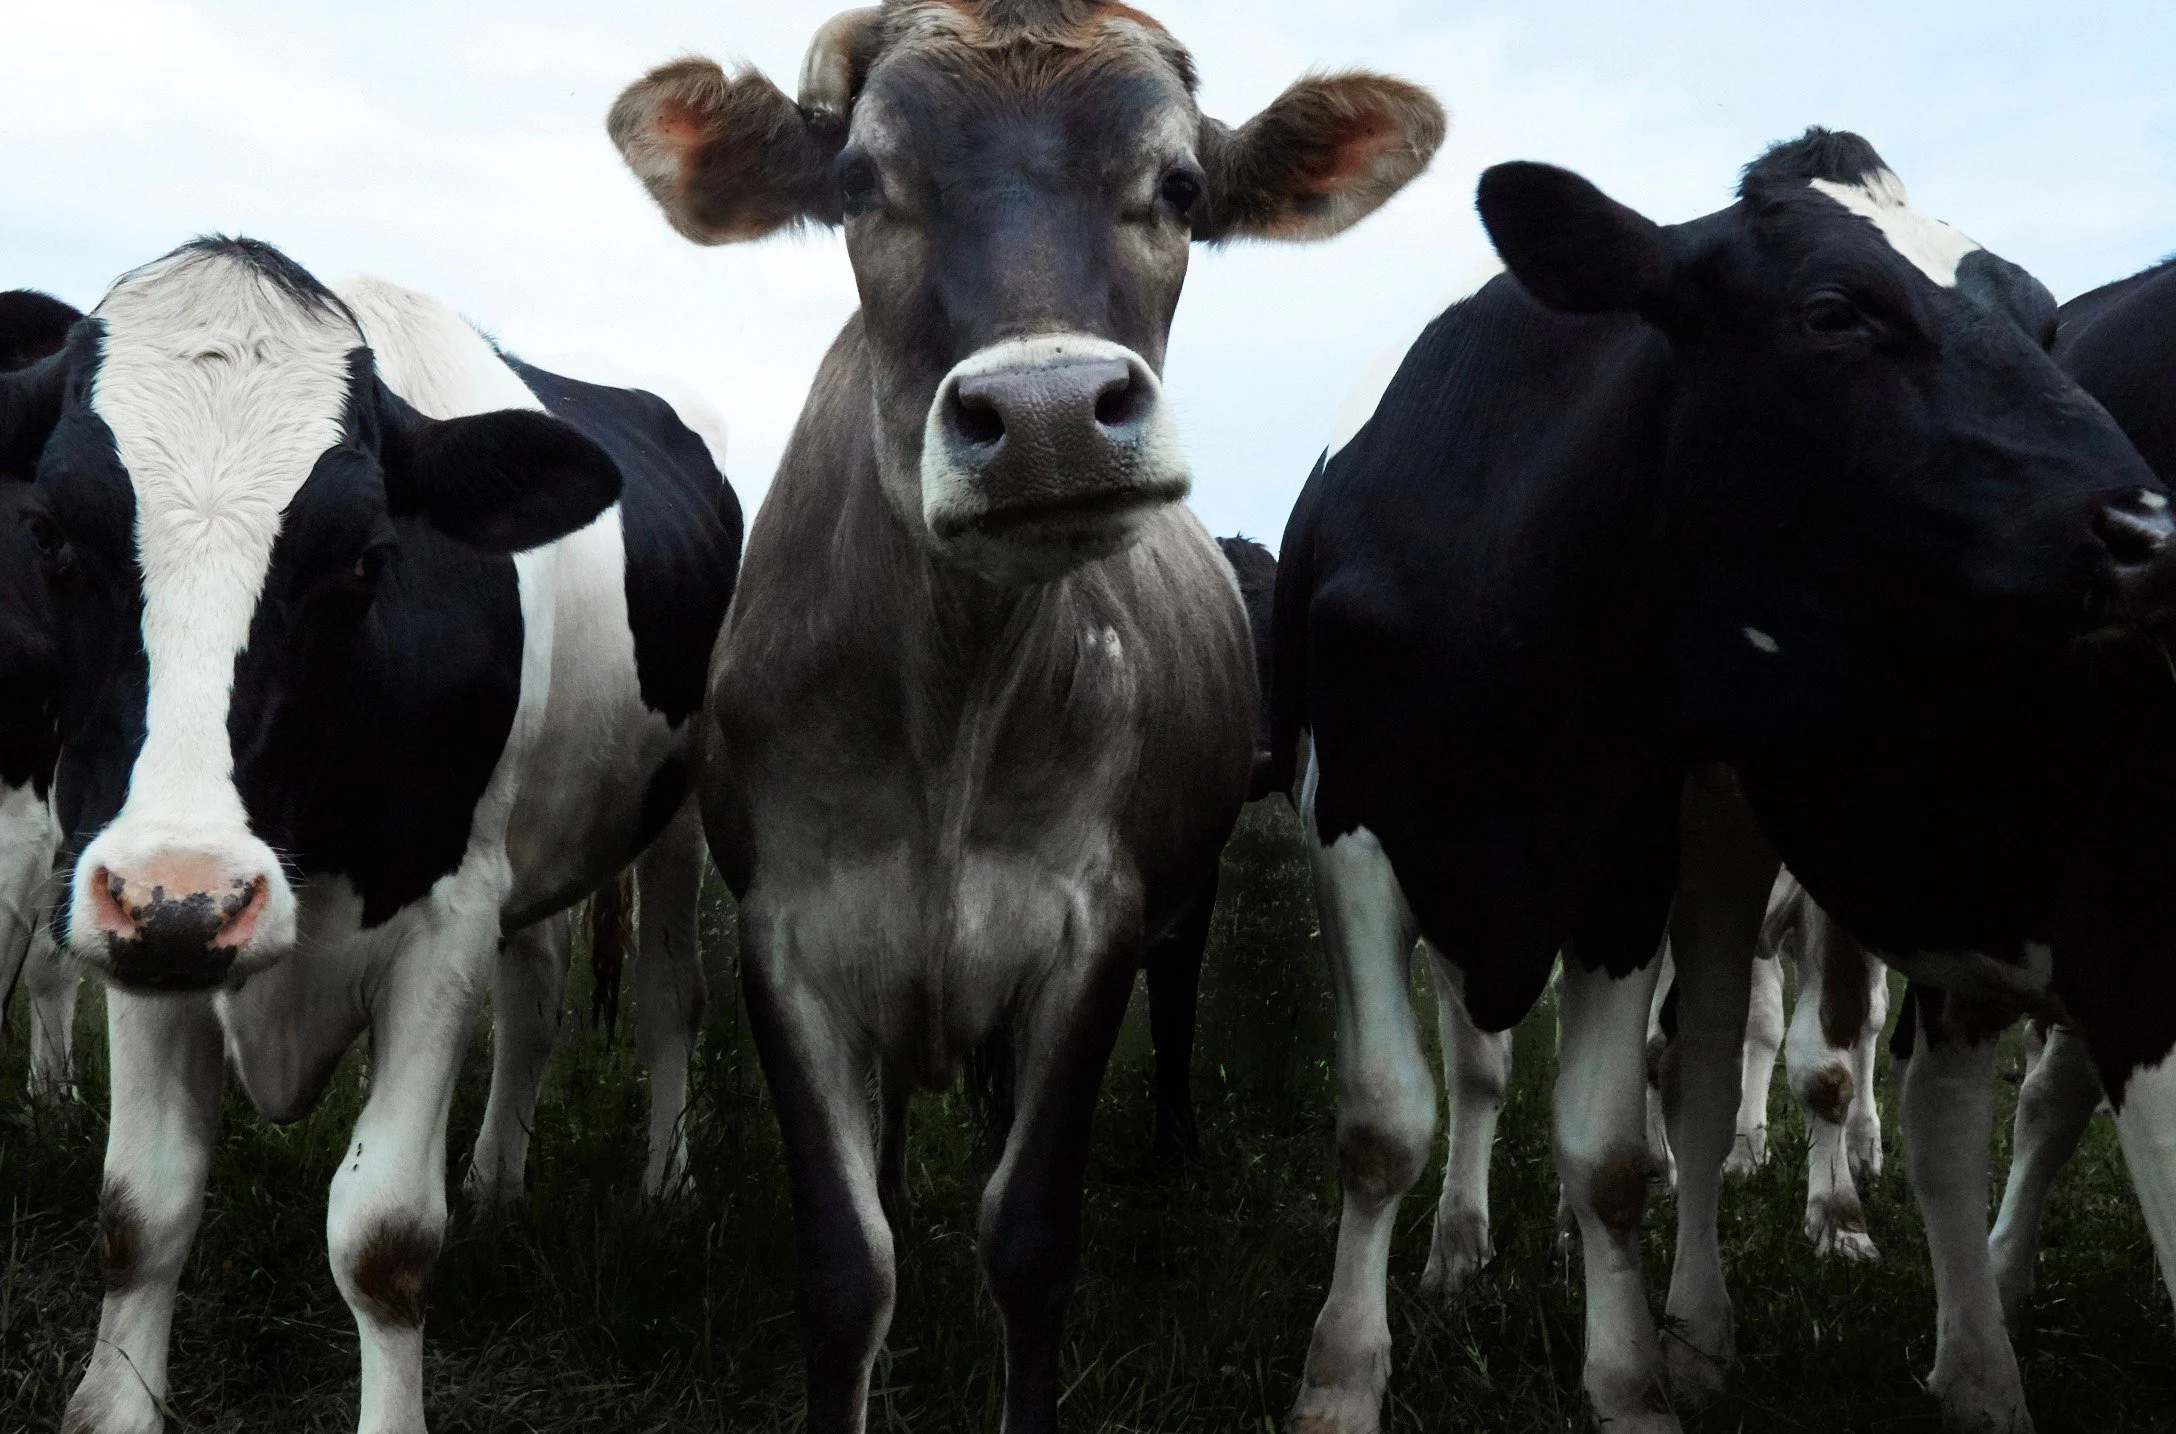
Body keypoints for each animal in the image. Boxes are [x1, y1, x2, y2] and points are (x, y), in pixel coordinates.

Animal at [0, 240, 741, 1434]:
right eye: (49, 533)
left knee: (672, 991)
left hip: (679, 808)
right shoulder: (128, 907)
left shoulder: (442, 922)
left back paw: (664, 1189)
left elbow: (384, 1239)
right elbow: (140, 1211)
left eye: (364, 557)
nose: (197, 893)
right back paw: (496, 1183)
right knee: (536, 991)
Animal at [606, 5, 1441, 1428]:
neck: (948, 709)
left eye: (1181, 187)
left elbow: (1031, 1239)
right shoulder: (785, 937)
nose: (1049, 419)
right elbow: (846, 1267)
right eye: (859, 183)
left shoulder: (1086, 931)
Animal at [1269, 129, 2176, 1433]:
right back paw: (1459, 1247)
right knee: (1486, 1073)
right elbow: (1388, 1123)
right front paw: (1341, 1377)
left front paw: (1630, 1384)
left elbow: (1610, 1152)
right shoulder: (1350, 831)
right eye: (1834, 312)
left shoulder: (1620, 861)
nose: (2153, 530)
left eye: (2046, 323)